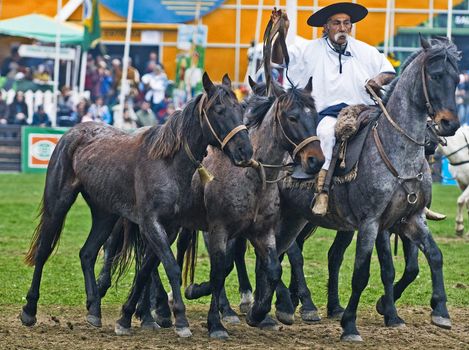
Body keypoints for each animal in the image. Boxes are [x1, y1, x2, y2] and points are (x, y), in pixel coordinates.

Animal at [19, 72, 252, 338]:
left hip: (105, 214)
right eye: (219, 110)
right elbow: (171, 266)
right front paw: (180, 319)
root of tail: (74, 132)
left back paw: (94, 309)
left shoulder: (169, 228)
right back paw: (30, 309)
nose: (245, 150)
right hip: (58, 202)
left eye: (240, 108)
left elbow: (145, 270)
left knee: (87, 253)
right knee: (44, 250)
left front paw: (129, 317)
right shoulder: (151, 223)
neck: (167, 163)